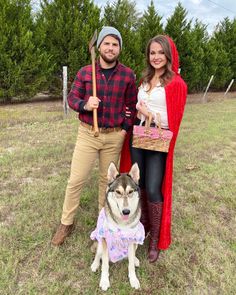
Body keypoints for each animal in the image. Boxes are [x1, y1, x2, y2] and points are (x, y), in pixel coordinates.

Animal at [90, 163, 145, 292]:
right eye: (118, 192)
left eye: (130, 191)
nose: (126, 211)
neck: (122, 223)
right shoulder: (105, 240)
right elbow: (105, 264)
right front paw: (104, 281)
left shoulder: (132, 240)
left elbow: (130, 264)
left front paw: (133, 279)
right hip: (99, 241)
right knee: (97, 254)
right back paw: (95, 264)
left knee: (132, 255)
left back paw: (135, 259)